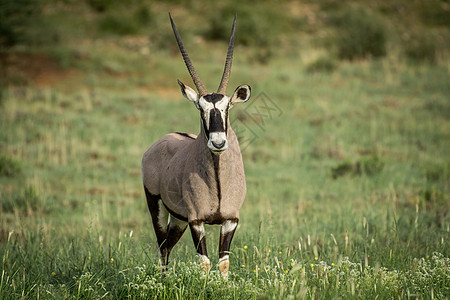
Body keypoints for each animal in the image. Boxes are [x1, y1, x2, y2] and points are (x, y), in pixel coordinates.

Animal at [142, 14, 250, 276]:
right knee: (162, 247)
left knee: (167, 245)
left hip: (178, 218)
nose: (218, 142)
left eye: (227, 107)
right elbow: (204, 262)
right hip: (157, 206)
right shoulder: (196, 220)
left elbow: (223, 263)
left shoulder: (231, 220)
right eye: (201, 108)